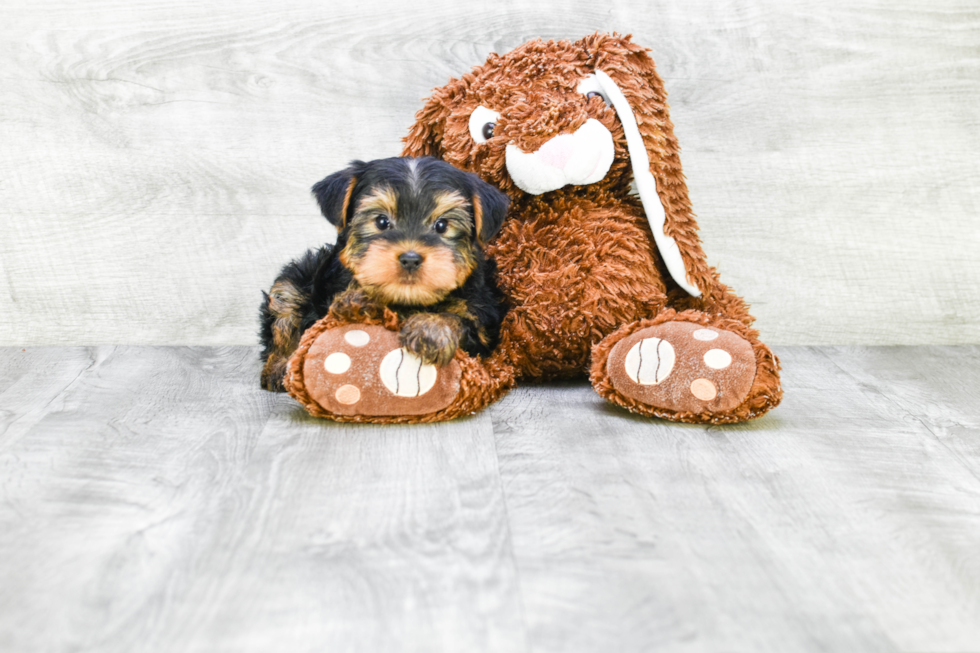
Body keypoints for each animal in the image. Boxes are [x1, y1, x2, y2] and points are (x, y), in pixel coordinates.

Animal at [256, 155, 510, 390]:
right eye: (381, 221)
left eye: (442, 225)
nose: (410, 259)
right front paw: (359, 300)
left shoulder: (482, 319)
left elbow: (459, 320)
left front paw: (431, 328)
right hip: (297, 279)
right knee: (284, 314)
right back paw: (279, 367)